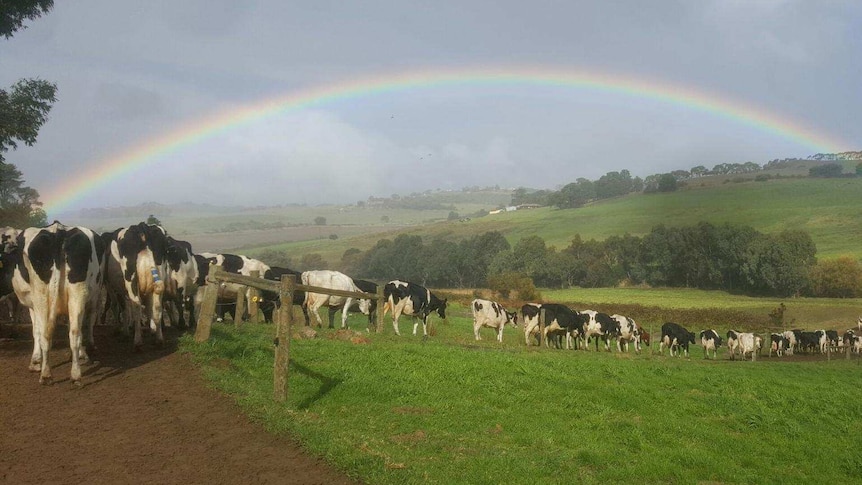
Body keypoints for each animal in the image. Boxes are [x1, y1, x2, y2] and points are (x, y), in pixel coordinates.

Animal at [1, 221, 104, 384]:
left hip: (41, 296)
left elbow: (35, 331)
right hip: (77, 292)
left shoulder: (32, 305)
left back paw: (46, 373)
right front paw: (82, 355)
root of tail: (58, 230)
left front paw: (36, 360)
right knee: (75, 332)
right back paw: (75, 374)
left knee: (45, 332)